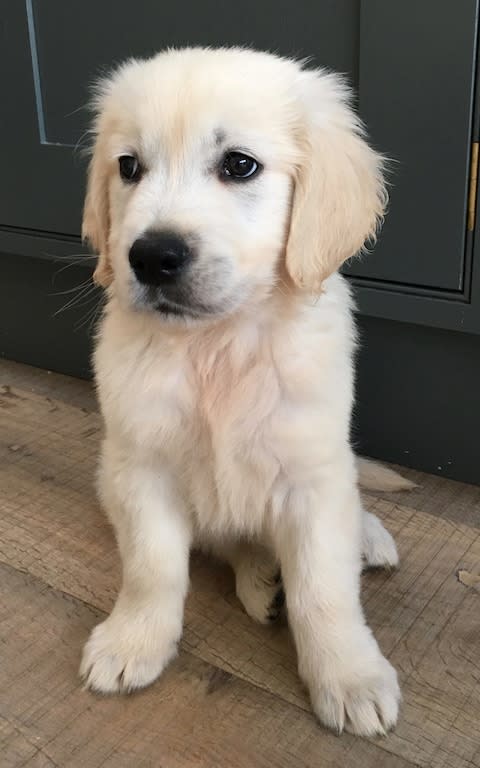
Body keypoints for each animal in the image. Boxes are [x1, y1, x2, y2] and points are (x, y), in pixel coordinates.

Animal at [81, 49, 402, 736]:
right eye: (129, 167)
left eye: (239, 165)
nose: (151, 256)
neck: (217, 344)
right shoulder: (140, 468)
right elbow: (152, 568)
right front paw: (133, 640)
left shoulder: (313, 477)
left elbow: (325, 590)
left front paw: (350, 675)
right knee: (236, 542)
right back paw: (261, 581)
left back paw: (365, 538)